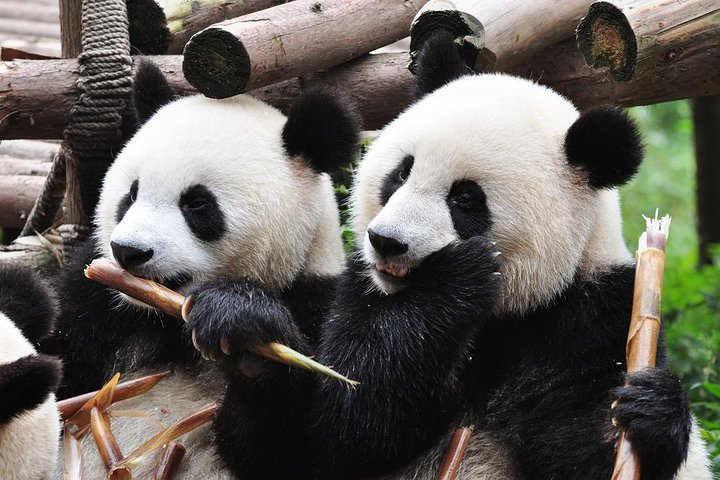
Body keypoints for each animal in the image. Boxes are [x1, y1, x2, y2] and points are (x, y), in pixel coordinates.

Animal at [42, 59, 360, 476]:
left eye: (196, 204)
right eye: (131, 194)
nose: (129, 252)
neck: (164, 318)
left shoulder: (316, 302)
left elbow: (295, 447)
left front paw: (242, 329)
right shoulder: (98, 296)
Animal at [300, 31, 712, 480]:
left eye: (465, 198)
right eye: (402, 172)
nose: (387, 241)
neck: (506, 316)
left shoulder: (595, 316)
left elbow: (582, 448)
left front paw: (652, 410)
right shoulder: (361, 290)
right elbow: (348, 417)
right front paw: (455, 280)